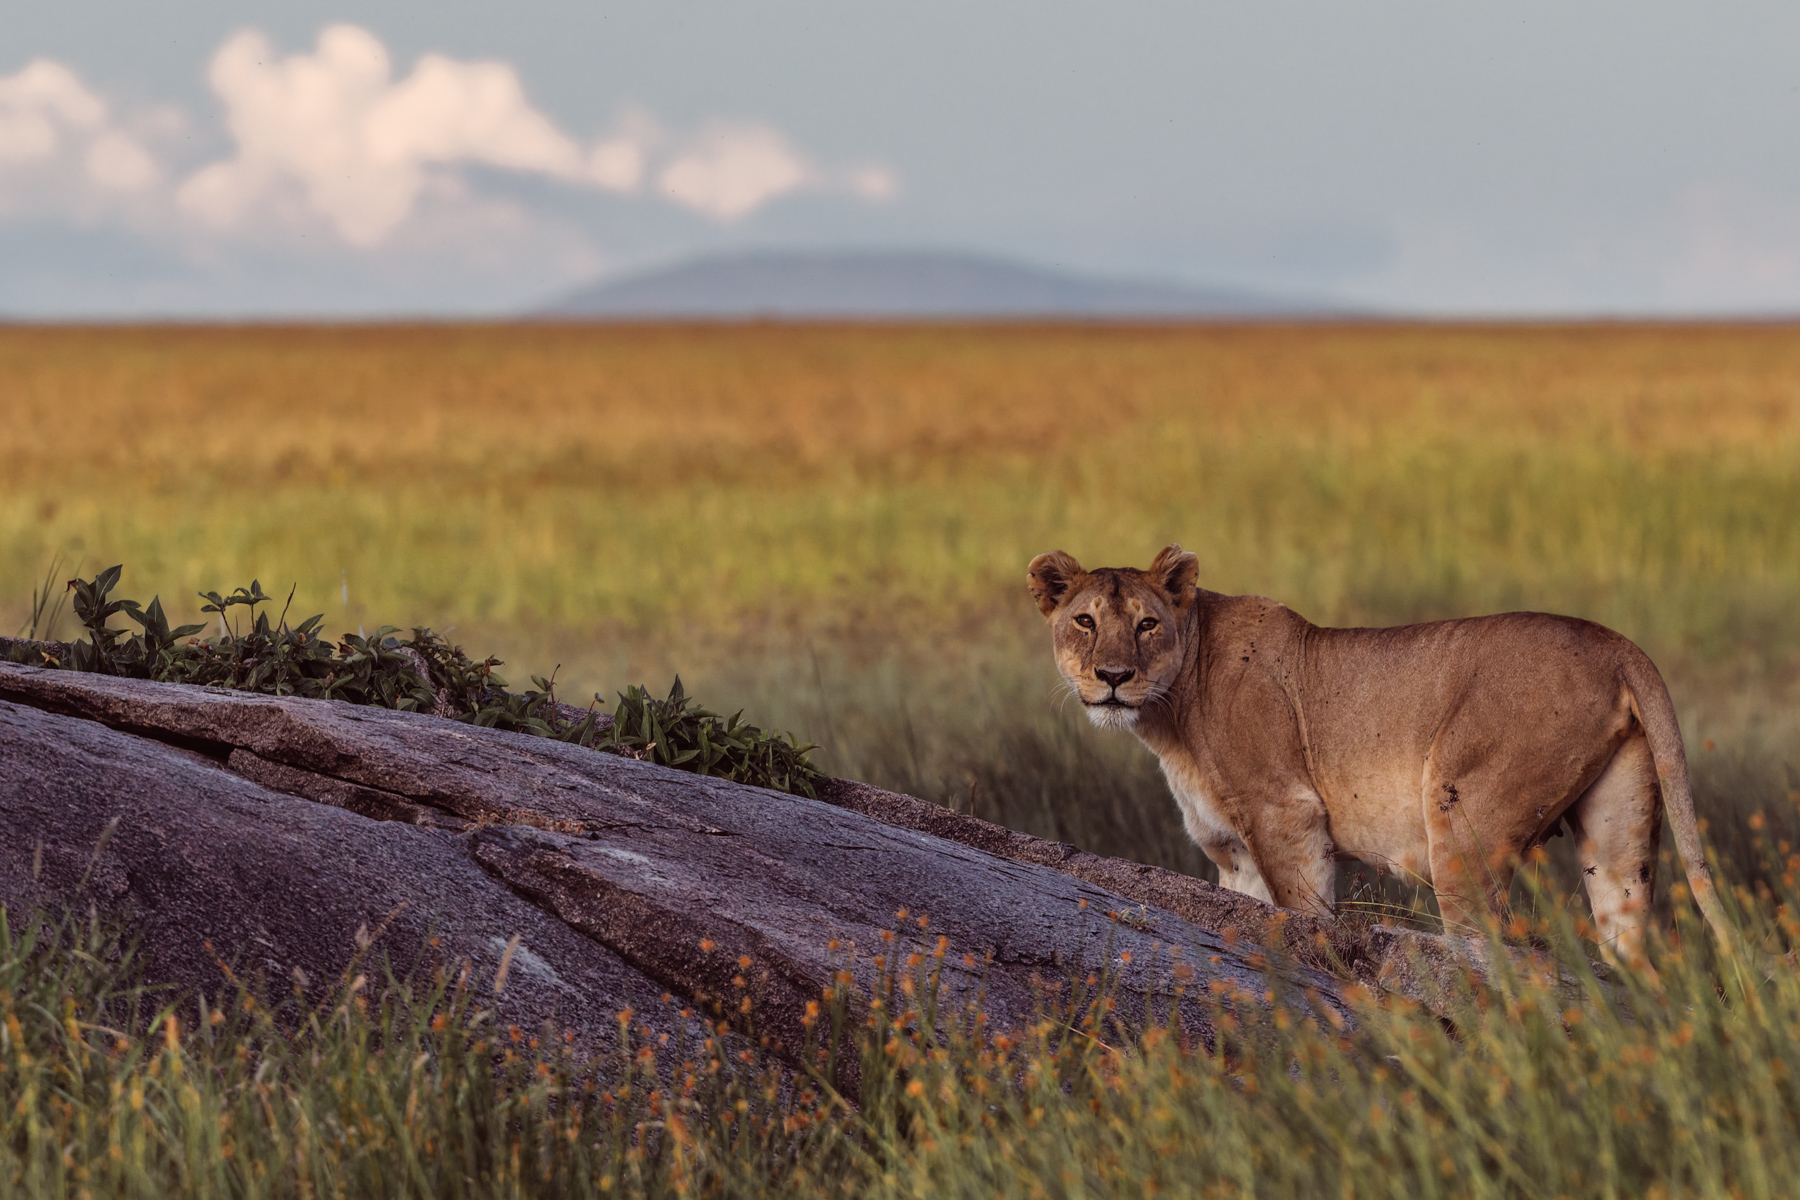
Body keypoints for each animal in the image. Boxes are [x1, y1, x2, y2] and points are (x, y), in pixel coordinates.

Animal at [1027, 544, 1731, 961]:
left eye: (1147, 624)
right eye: (1085, 621)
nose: (1113, 676)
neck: (1170, 715)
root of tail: (1619, 643)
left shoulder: (1288, 815)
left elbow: (1305, 912)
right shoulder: (1234, 856)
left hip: (1461, 824)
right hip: (1619, 828)